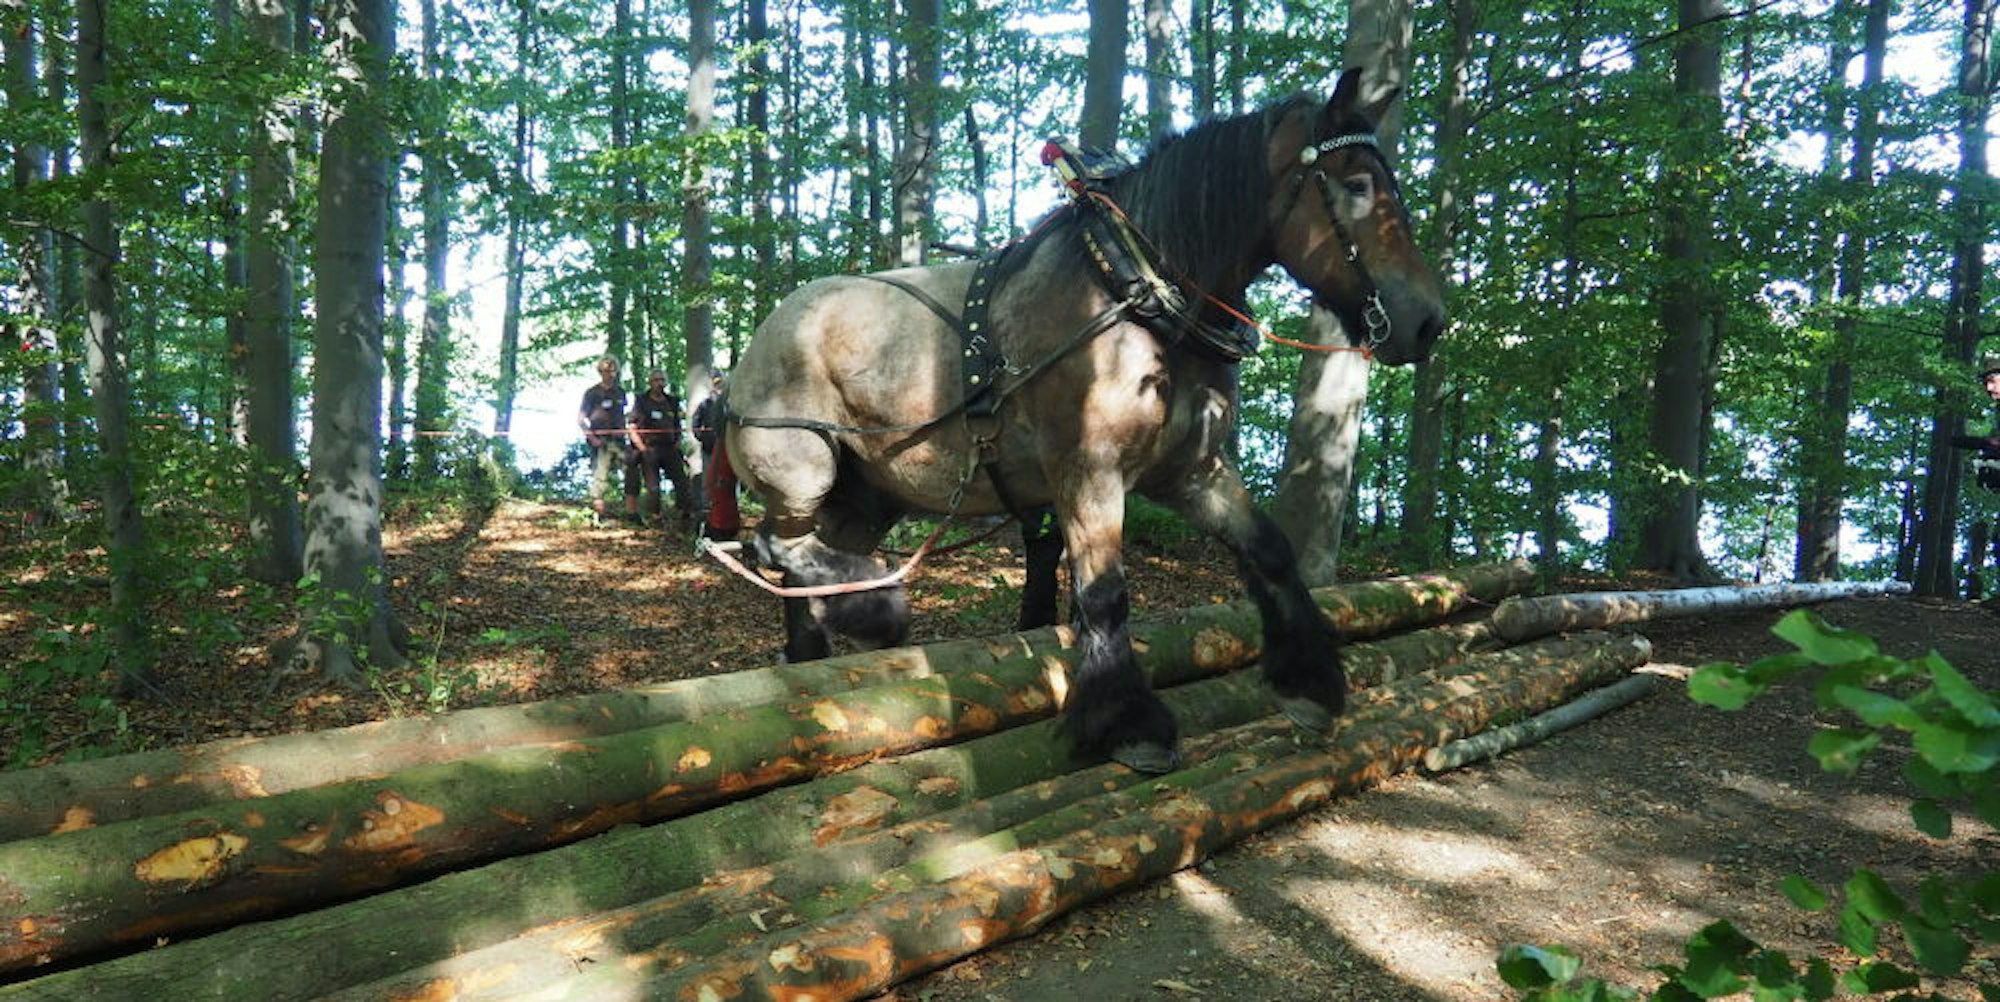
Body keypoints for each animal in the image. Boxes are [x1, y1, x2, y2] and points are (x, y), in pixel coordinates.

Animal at [723, 68, 1447, 773]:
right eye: (1356, 184)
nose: (1428, 321)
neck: (1135, 293)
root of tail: (753, 348)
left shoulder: (1190, 470)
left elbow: (1267, 548)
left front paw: (1310, 684)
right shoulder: (1086, 470)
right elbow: (1103, 591)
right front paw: (1130, 723)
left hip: (870, 495)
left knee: (802, 567)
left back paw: (820, 661)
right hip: (802, 470)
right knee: (777, 547)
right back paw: (878, 609)